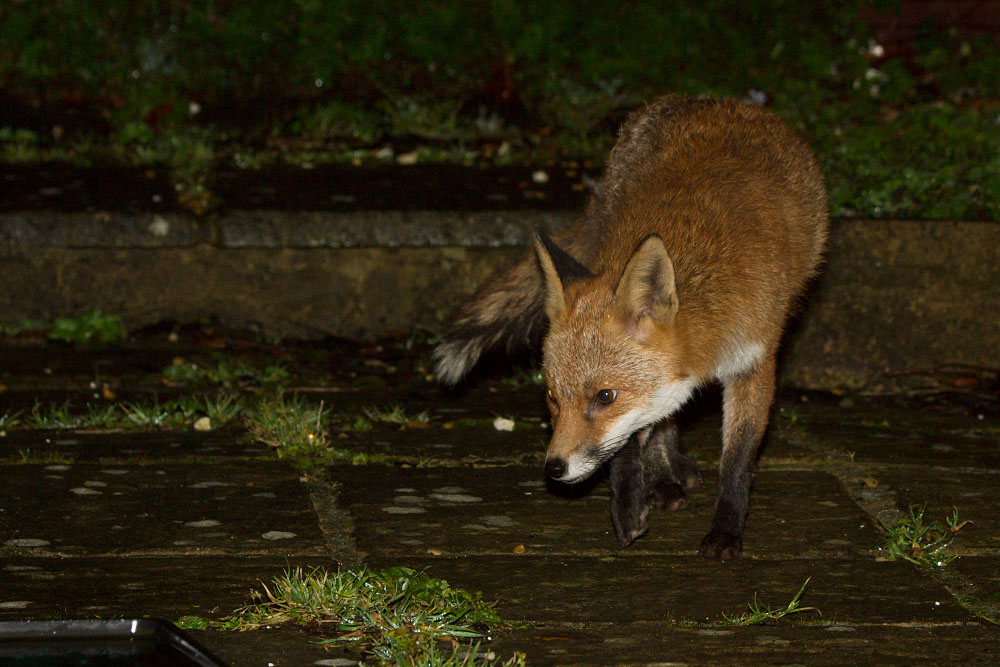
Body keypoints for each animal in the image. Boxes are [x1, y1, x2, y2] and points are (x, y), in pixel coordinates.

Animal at [433, 96, 828, 559]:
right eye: (551, 397)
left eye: (604, 397)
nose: (554, 468)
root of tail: (716, 101)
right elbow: (631, 442)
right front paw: (629, 505)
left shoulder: (754, 360)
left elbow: (738, 459)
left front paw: (725, 531)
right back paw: (665, 480)